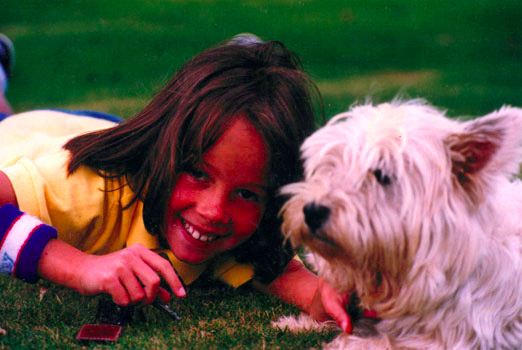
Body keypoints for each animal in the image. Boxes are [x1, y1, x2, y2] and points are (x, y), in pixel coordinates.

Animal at [278, 100, 520, 348]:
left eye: (382, 174)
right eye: (333, 166)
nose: (311, 211)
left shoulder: (447, 339)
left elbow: (364, 341)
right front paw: (297, 323)